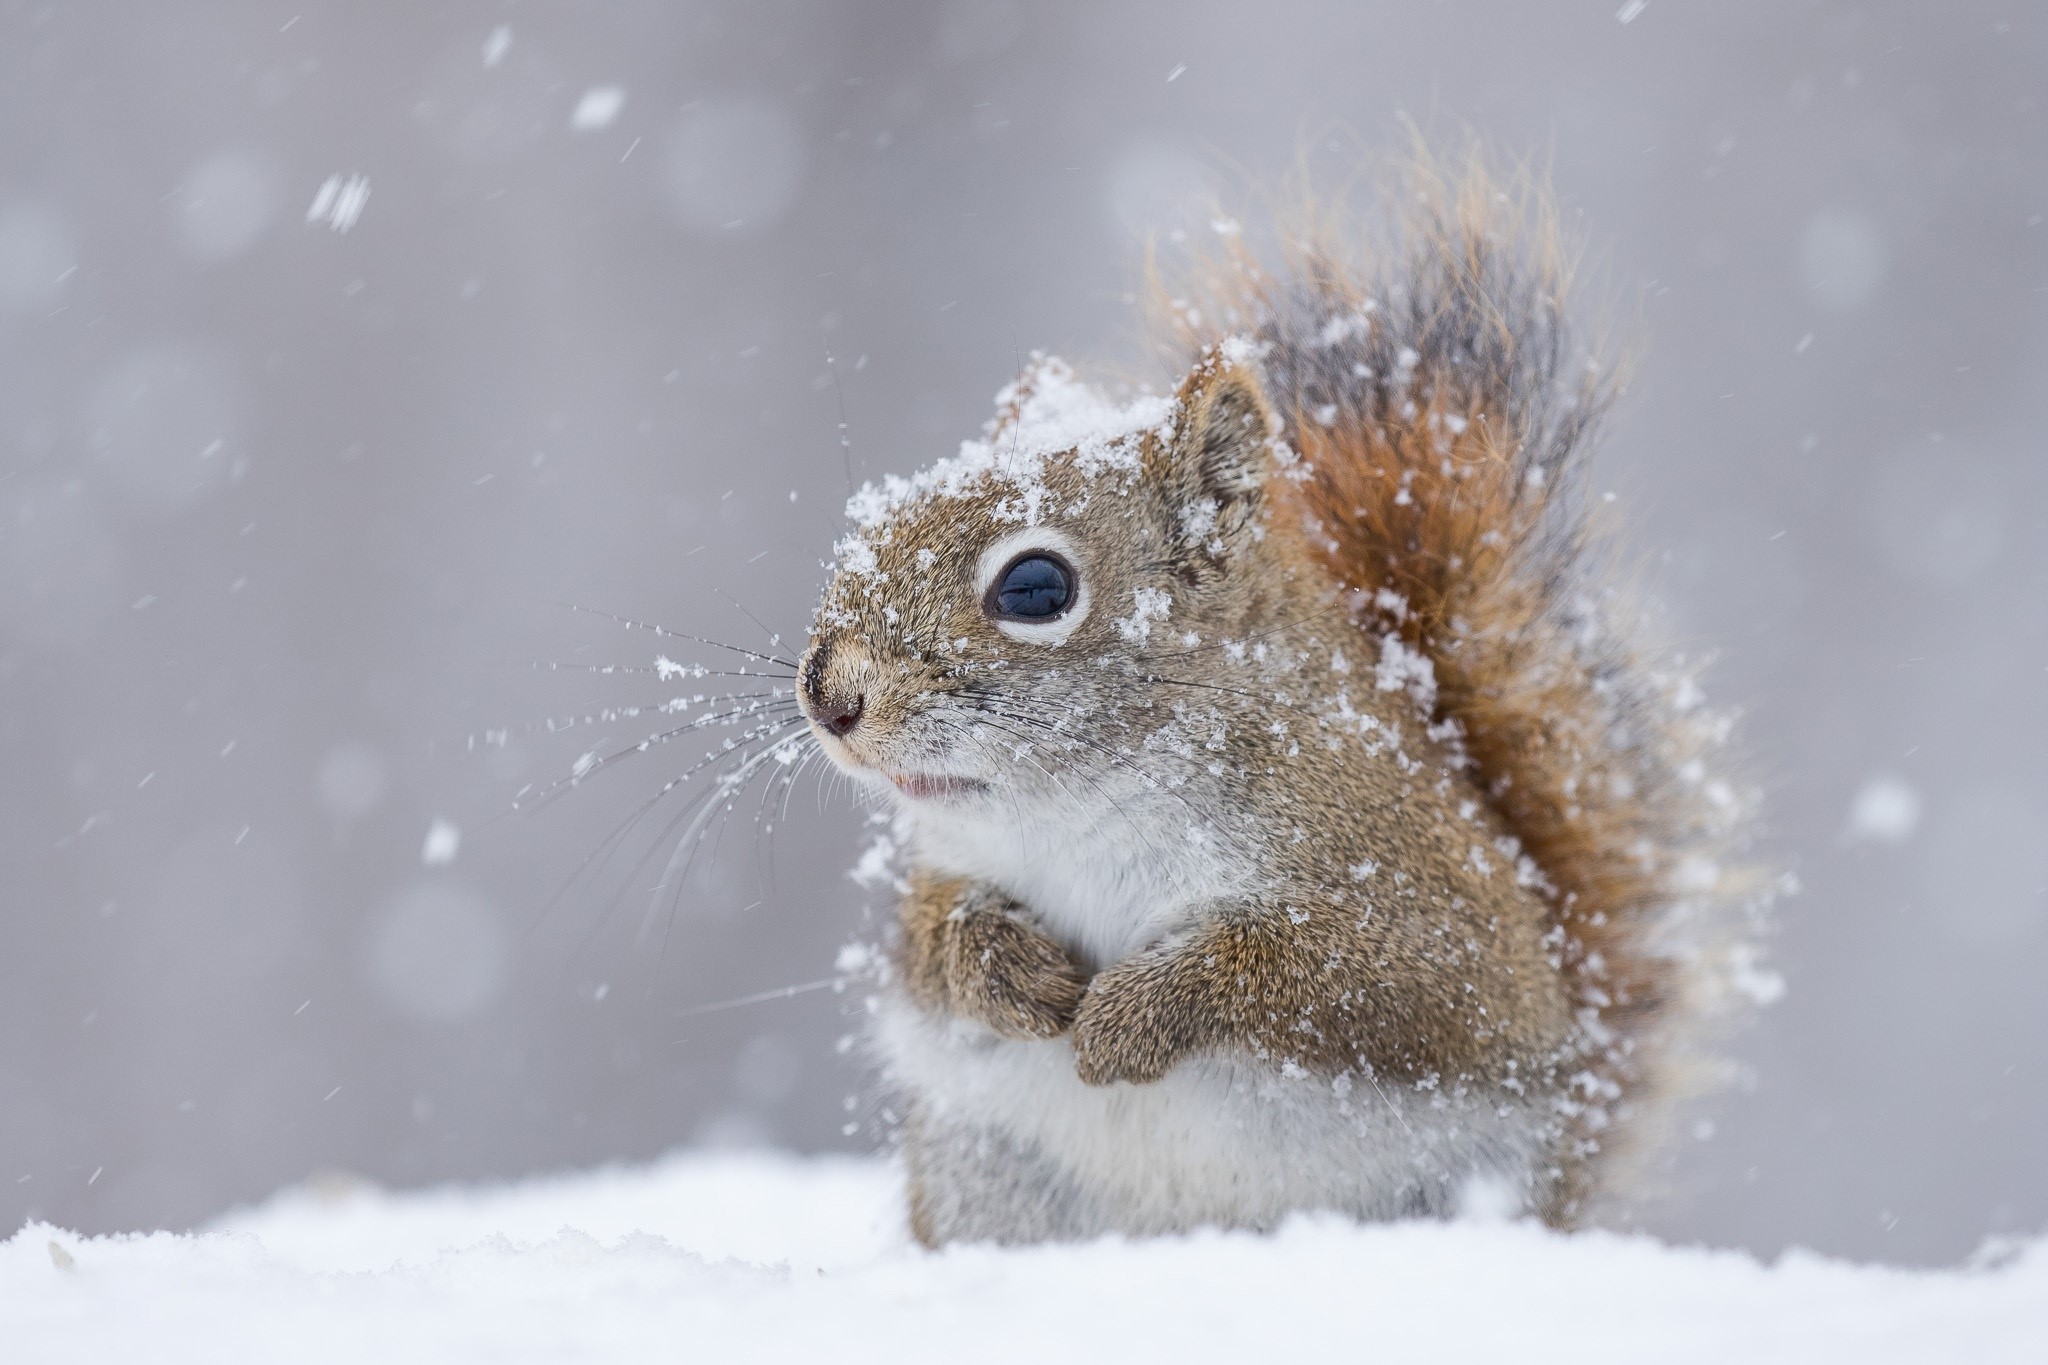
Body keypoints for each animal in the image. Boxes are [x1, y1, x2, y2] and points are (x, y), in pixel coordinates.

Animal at [797, 154, 1766, 1247]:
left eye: (1035, 588)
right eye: (877, 523)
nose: (827, 693)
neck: (1088, 809)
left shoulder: (1425, 904)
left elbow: (1348, 979)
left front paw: (1131, 1016)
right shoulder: (951, 869)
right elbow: (929, 946)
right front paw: (1005, 970)